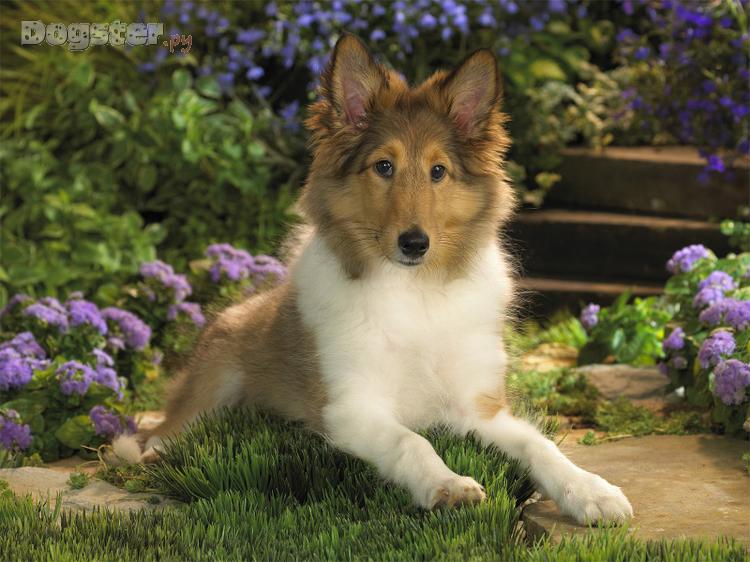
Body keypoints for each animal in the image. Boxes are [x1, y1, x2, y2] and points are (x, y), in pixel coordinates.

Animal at [116, 34, 633, 525]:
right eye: (384, 166)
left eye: (439, 171)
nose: (414, 244)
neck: (415, 293)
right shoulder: (351, 408)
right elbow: (412, 443)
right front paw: (448, 485)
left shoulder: (479, 406)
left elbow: (539, 446)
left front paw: (591, 491)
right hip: (217, 375)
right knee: (168, 428)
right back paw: (157, 450)